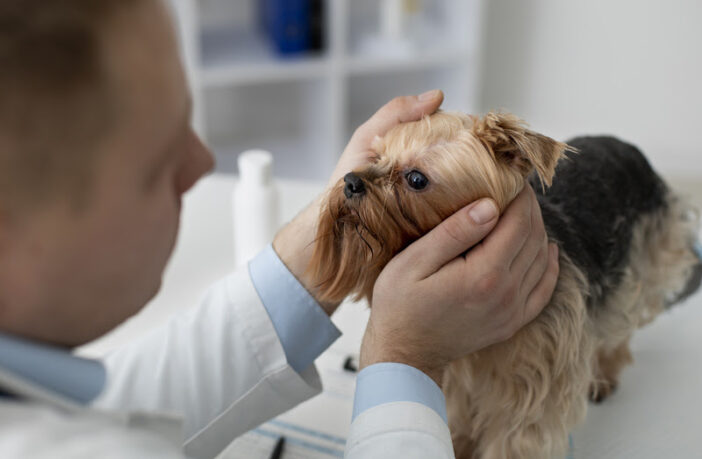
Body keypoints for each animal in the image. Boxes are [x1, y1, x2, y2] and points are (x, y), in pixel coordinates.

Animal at [310, 112, 702, 459]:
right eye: (375, 157)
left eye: (417, 179)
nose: (350, 181)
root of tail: (628, 148)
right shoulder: (454, 373)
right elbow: (457, 420)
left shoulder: (530, 385)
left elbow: (515, 437)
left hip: (643, 257)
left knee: (619, 323)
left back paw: (603, 374)